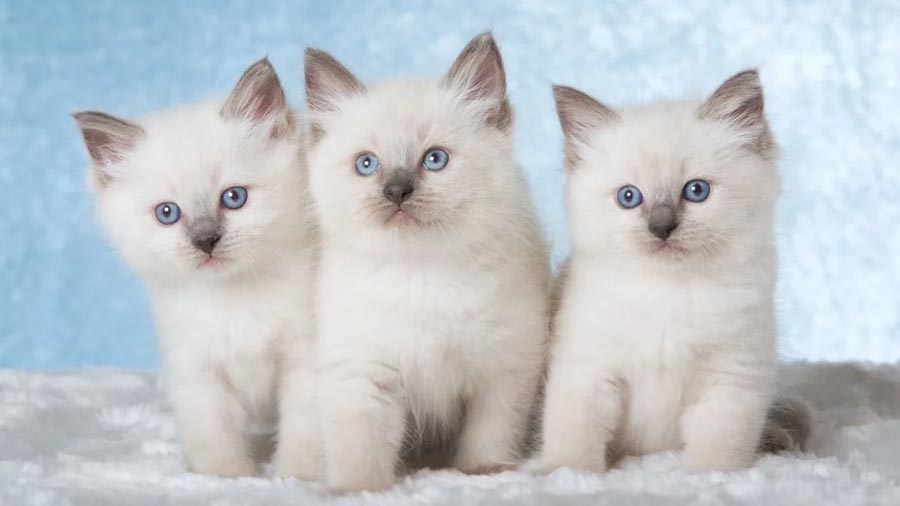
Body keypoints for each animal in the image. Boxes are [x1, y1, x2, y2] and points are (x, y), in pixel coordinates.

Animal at [74, 59, 320, 478]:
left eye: (234, 198)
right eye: (167, 214)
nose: (206, 241)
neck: (234, 295)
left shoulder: (304, 358)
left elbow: (303, 430)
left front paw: (294, 477)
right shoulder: (196, 370)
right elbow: (214, 435)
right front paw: (230, 477)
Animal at [306, 33, 552, 492]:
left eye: (435, 159)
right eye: (366, 164)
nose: (397, 191)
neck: (420, 273)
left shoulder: (503, 368)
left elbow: (491, 431)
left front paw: (484, 470)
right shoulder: (365, 372)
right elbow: (360, 444)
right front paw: (356, 490)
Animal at [536, 71, 780, 474]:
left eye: (696, 191)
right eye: (629, 197)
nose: (661, 227)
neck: (669, 292)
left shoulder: (729, 379)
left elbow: (717, 448)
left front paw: (709, 478)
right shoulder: (588, 370)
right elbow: (575, 433)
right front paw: (565, 472)